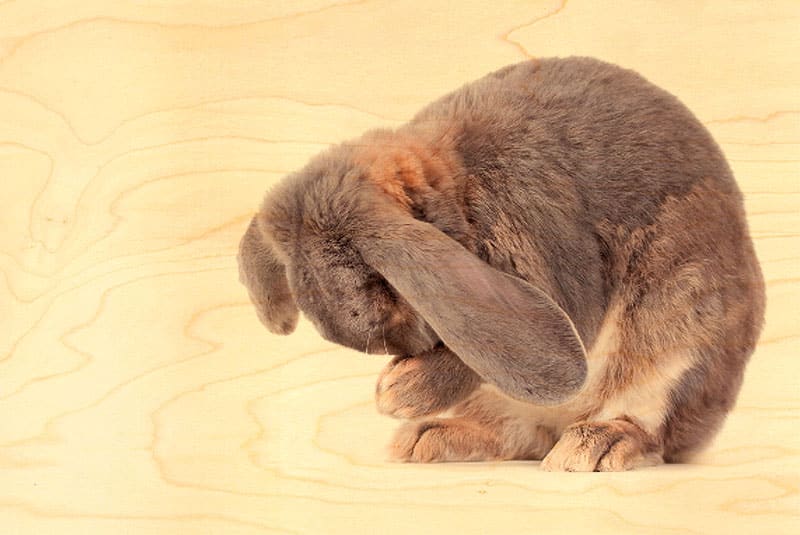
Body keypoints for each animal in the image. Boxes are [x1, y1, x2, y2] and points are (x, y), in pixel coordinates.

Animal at [238, 57, 765, 471]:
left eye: (380, 291)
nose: (402, 356)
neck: (457, 189)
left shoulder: (542, 239)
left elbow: (493, 352)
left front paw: (399, 393)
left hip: (681, 332)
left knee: (649, 425)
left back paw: (597, 444)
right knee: (520, 434)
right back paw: (428, 437)